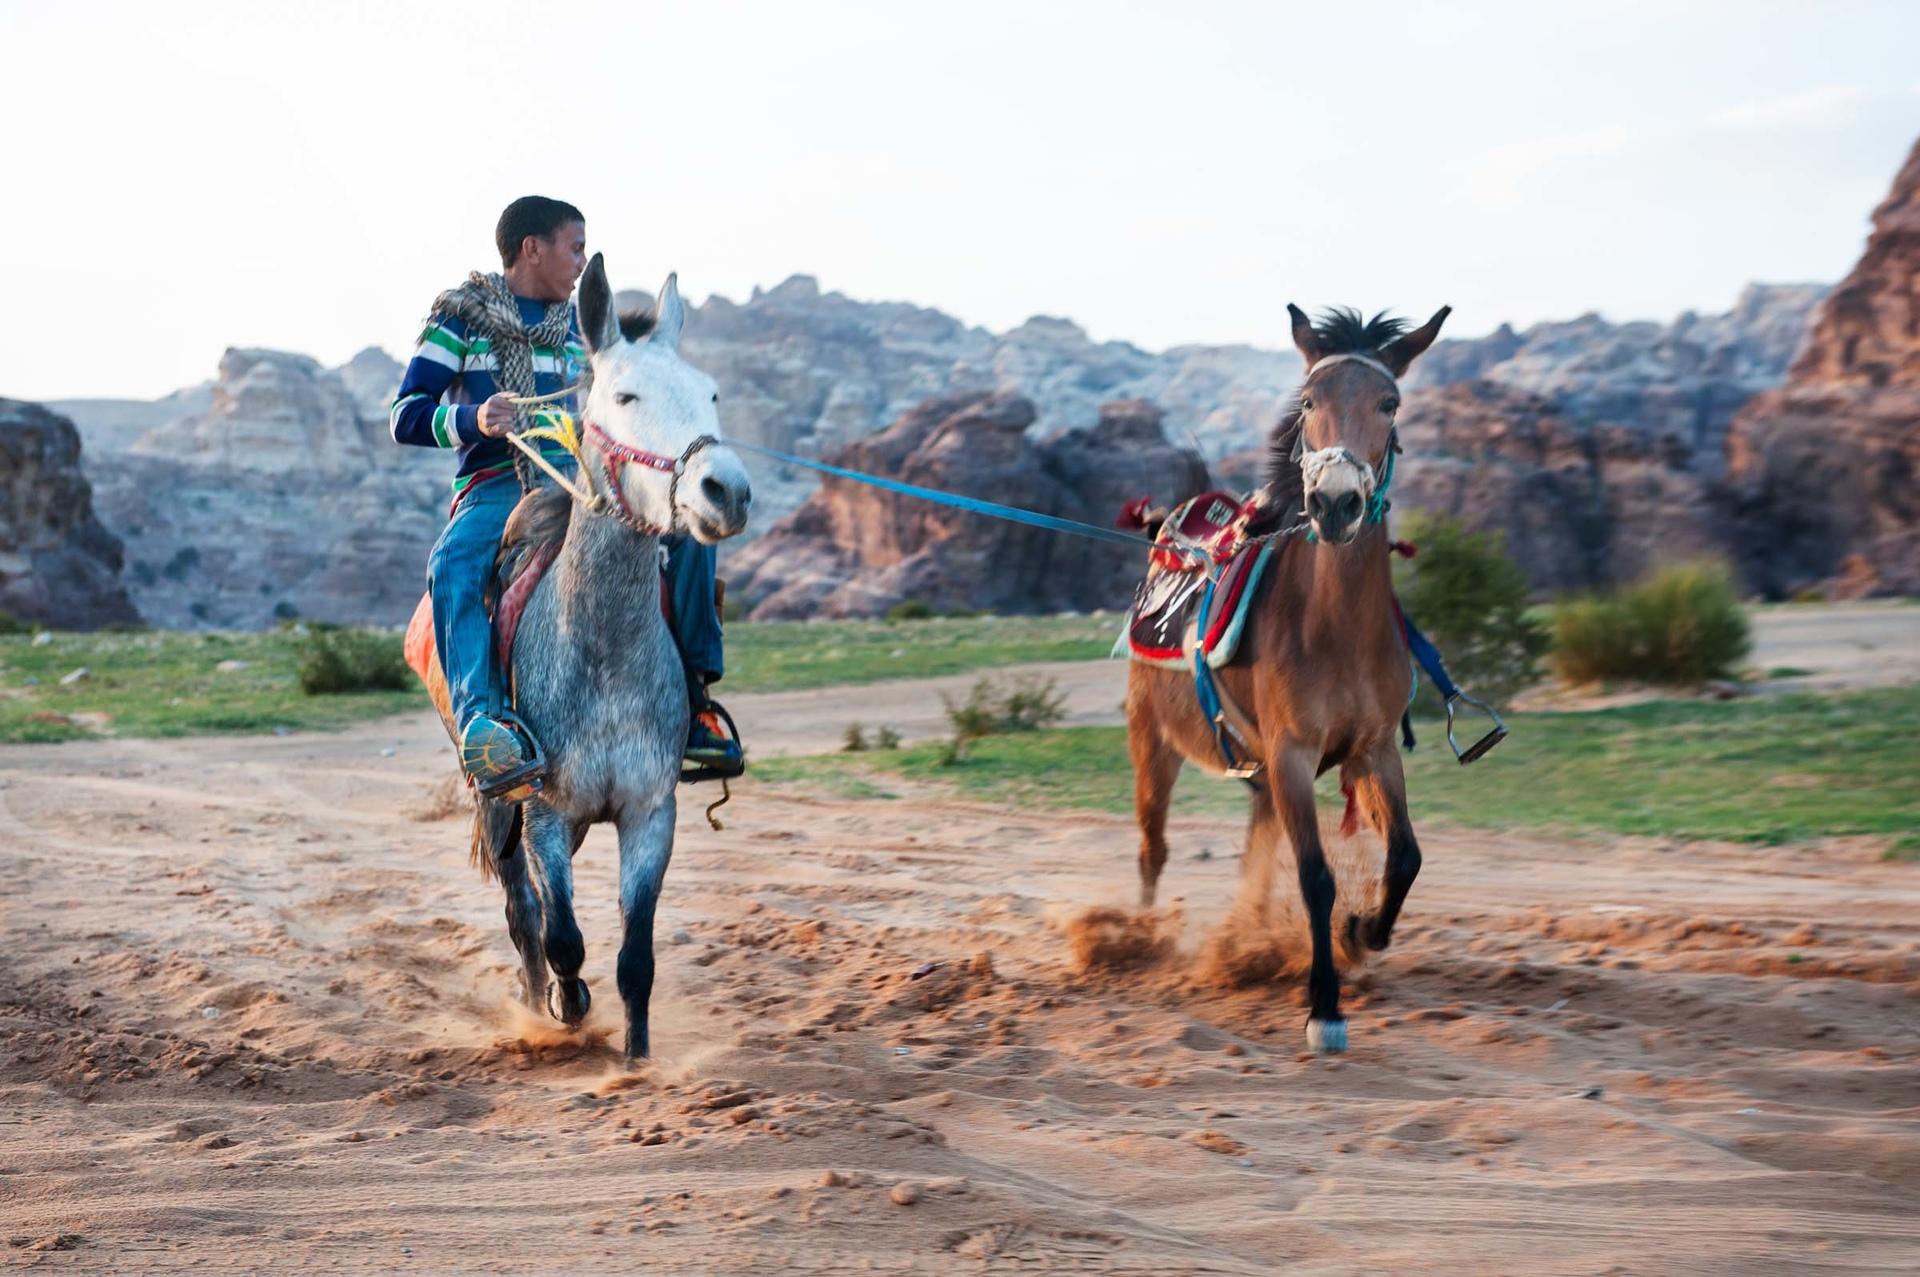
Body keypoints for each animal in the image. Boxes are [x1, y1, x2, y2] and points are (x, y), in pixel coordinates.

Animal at [410, 253, 748, 1060]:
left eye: (710, 393)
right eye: (624, 394)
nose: (727, 490)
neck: (603, 651)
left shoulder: (650, 812)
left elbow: (636, 959)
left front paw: (637, 1059)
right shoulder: (543, 815)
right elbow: (562, 936)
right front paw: (568, 1005)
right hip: (496, 800)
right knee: (523, 914)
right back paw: (539, 1003)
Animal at [1121, 303, 1443, 1052]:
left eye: (1390, 402)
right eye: (1309, 401)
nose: (1335, 503)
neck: (1334, 627)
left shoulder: (1373, 748)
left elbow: (1404, 858)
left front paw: (1360, 933)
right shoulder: (1293, 753)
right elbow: (1316, 876)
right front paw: (1324, 1006)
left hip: (1262, 772)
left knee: (1253, 859)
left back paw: (1249, 941)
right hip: (1154, 742)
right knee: (1153, 849)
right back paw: (1142, 936)